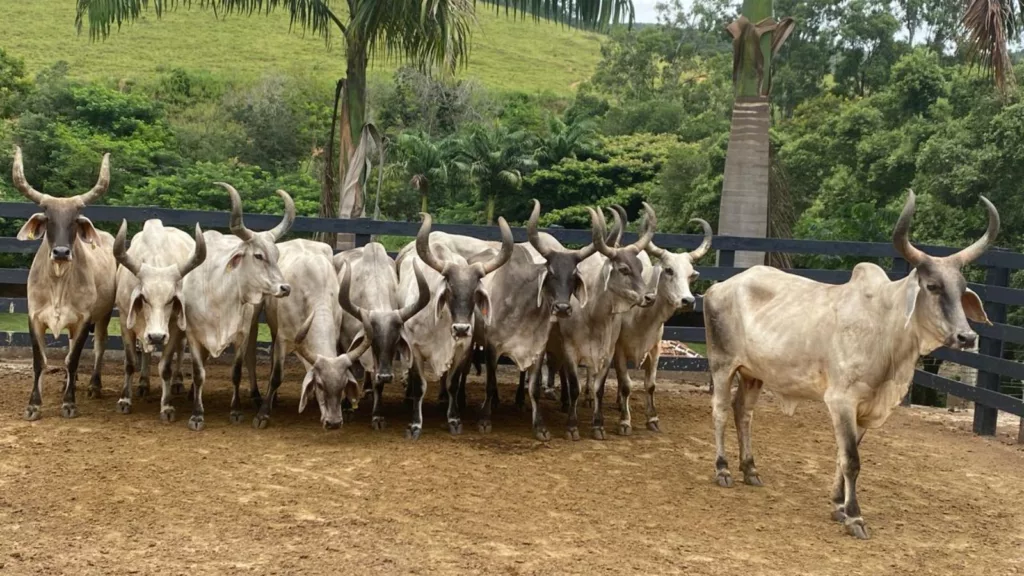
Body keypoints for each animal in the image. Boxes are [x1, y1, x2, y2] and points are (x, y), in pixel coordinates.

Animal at [13, 145, 117, 420]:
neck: (58, 282)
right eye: (49, 219)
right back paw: (66, 384)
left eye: (74, 221)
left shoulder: (82, 319)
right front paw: (33, 405)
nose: (61, 252)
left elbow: (73, 359)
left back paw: (93, 385)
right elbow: (40, 361)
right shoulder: (34, 318)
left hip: (103, 316)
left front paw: (69, 403)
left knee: (99, 346)